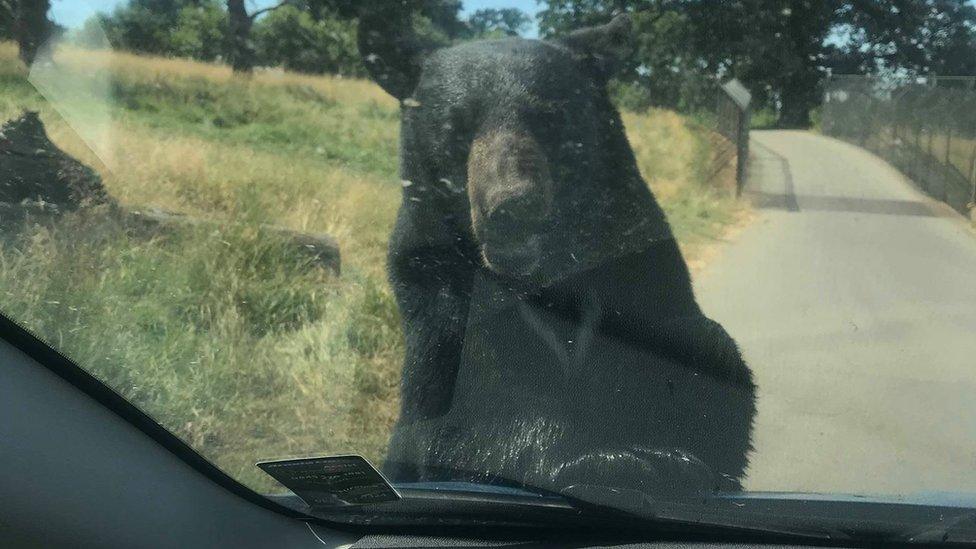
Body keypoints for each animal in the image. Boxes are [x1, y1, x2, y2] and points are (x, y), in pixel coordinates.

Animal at [358, 12, 756, 498]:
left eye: (549, 117)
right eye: (457, 125)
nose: (512, 206)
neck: (541, 279)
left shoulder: (636, 261)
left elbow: (695, 358)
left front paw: (669, 455)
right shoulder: (439, 289)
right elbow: (473, 410)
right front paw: (613, 463)